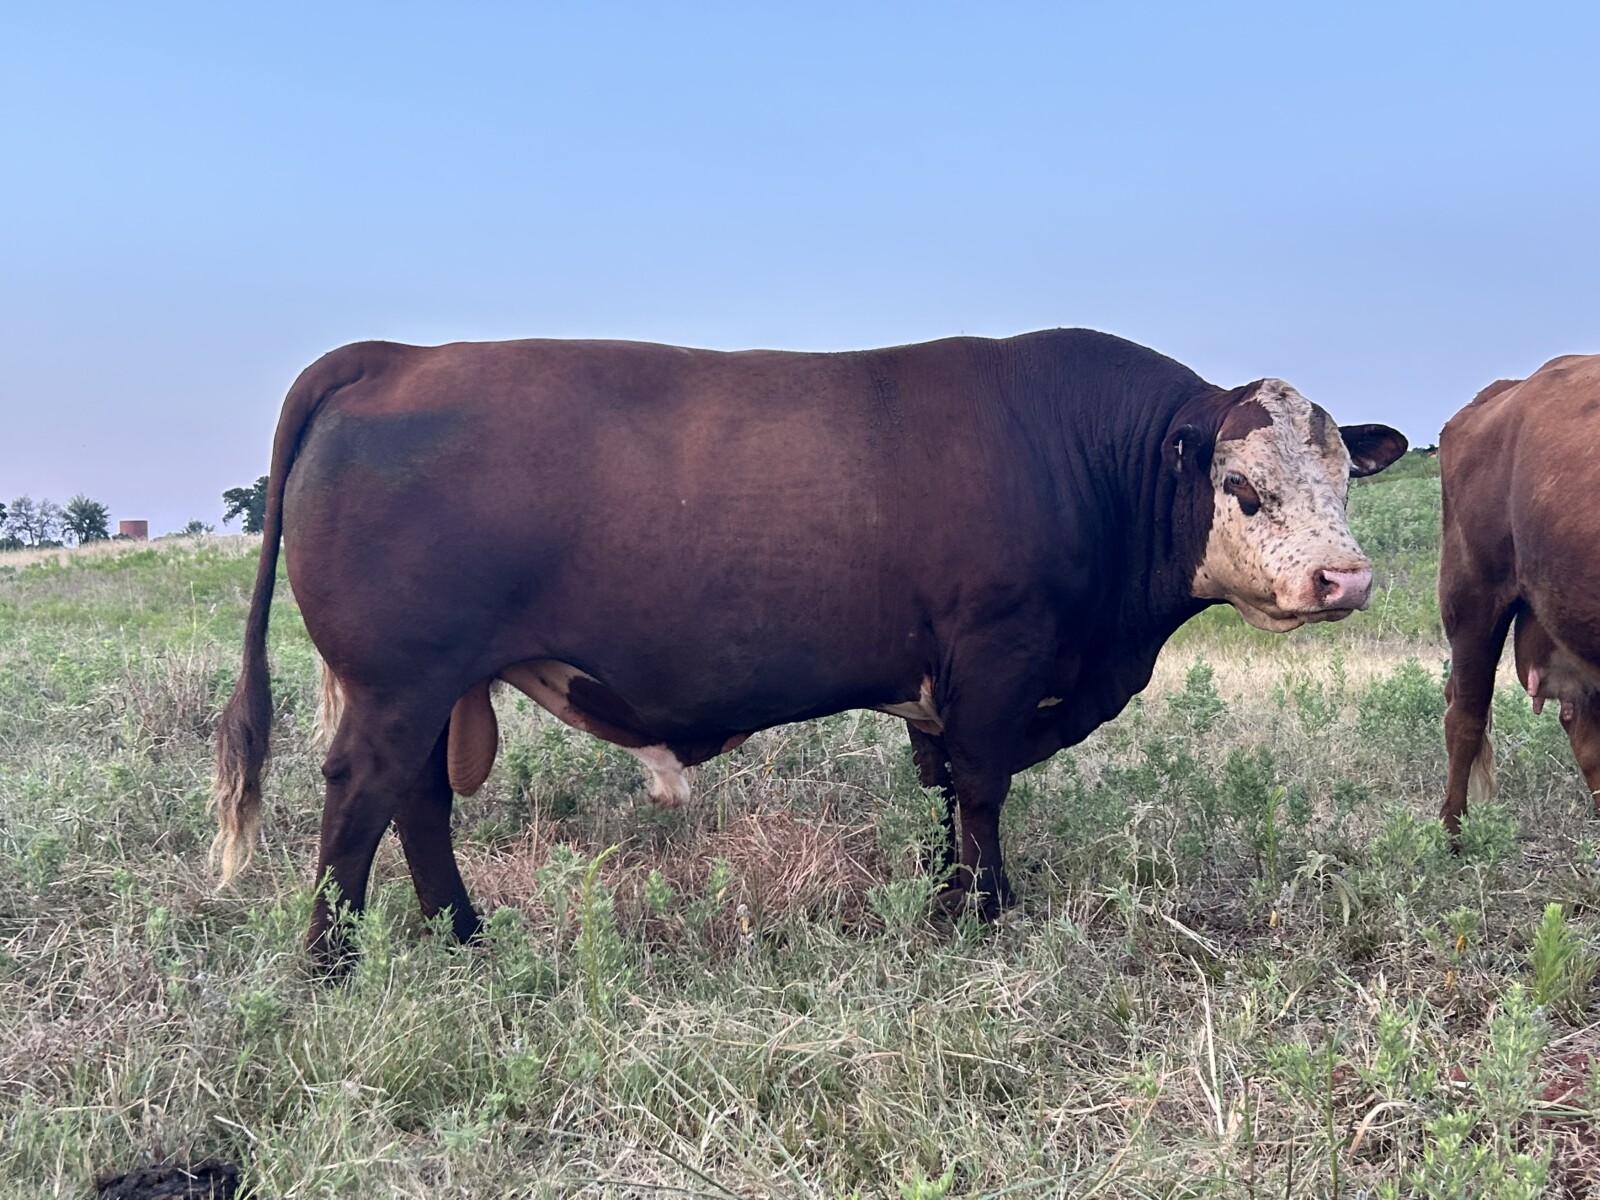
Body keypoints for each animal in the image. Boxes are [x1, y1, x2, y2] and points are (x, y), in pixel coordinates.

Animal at [211, 329, 1406, 963]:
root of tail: (393, 356)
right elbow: (981, 786)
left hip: (429, 687)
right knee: (362, 798)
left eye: (1344, 478)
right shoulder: (999, 657)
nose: (1343, 579)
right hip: (399, 682)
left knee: (416, 800)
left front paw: (946, 894)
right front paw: (984, 912)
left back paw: (463, 935)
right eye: (1243, 488)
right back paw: (332, 962)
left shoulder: (943, 684)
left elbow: (942, 788)